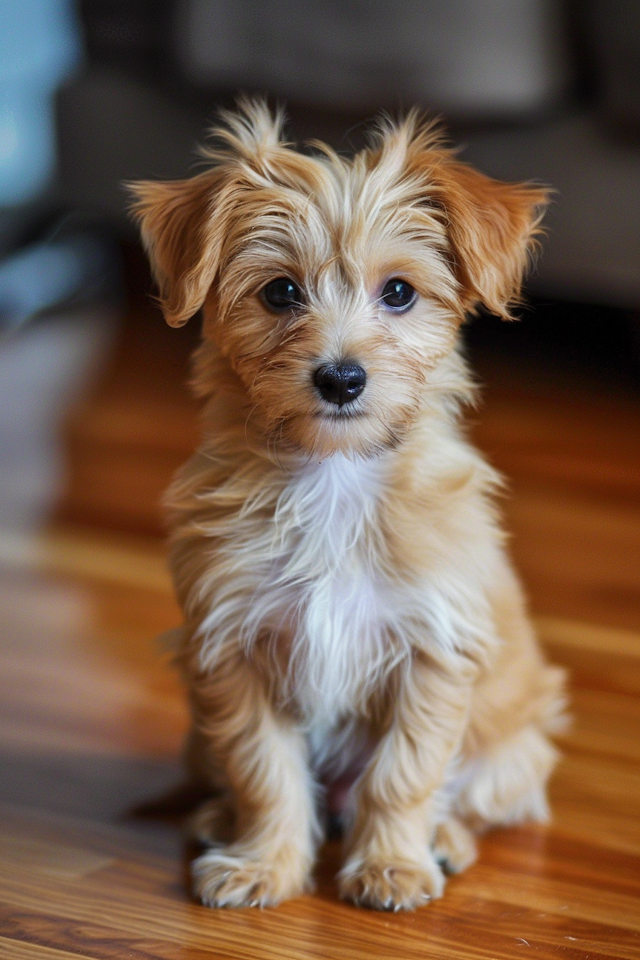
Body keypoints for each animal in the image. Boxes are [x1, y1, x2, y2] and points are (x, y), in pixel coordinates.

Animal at [130, 101, 564, 912]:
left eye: (398, 292)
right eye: (279, 292)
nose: (340, 378)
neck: (334, 478)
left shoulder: (433, 651)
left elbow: (404, 774)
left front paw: (392, 865)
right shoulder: (231, 648)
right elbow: (265, 773)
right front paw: (263, 865)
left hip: (513, 746)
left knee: (471, 797)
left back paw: (444, 841)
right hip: (197, 724)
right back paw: (218, 819)